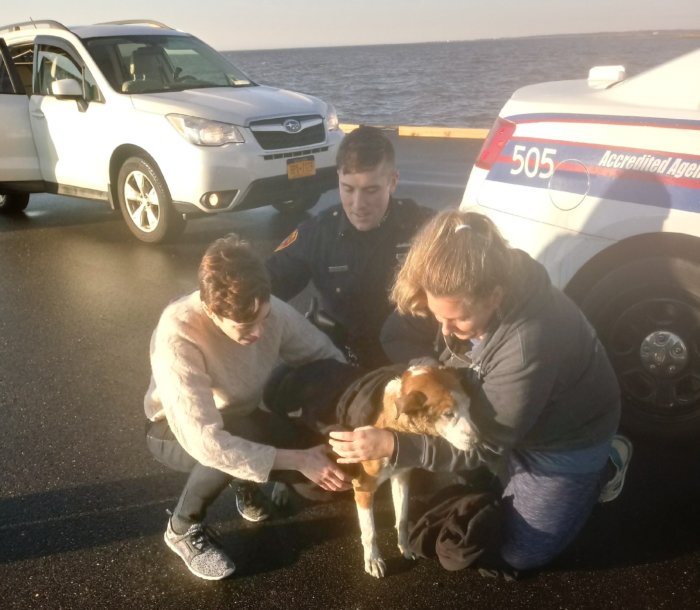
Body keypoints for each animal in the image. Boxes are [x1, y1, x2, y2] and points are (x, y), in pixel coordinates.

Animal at [350, 364, 476, 576]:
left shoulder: (401, 478)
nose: (478, 440)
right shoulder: (364, 487)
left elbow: (402, 518)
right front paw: (373, 559)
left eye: (469, 406)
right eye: (448, 414)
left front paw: (405, 547)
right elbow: (370, 531)